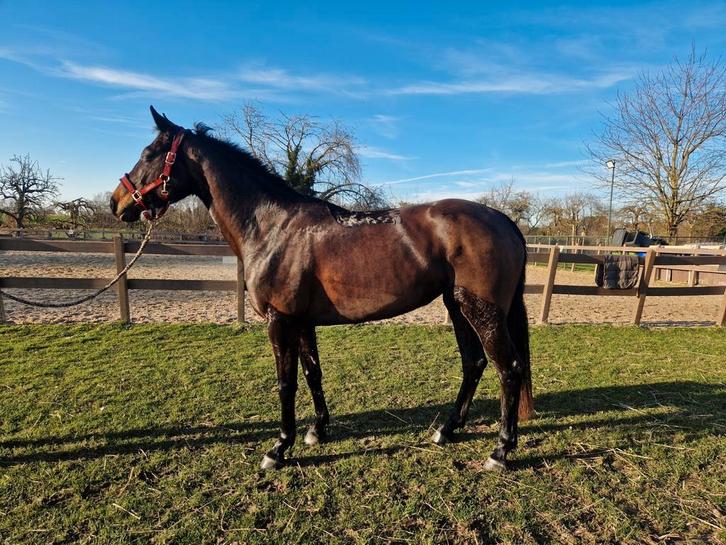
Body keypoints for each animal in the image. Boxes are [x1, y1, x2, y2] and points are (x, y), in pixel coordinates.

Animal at [109, 106, 533, 471]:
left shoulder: (280, 321)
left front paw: (279, 448)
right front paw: (316, 431)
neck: (272, 227)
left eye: (149, 153)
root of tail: (504, 221)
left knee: (509, 368)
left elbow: (286, 383)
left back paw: (500, 451)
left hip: (481, 310)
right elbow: (313, 373)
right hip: (456, 306)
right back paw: (446, 429)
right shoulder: (302, 321)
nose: (117, 203)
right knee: (474, 363)